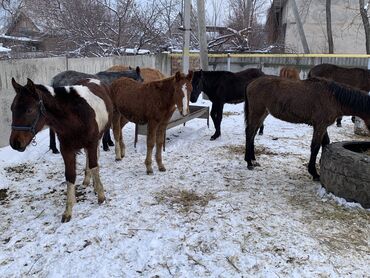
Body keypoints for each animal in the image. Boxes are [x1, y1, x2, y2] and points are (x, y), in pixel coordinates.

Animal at [10, 77, 112, 223]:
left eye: (29, 110)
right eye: (12, 109)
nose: (15, 143)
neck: (75, 118)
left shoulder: (91, 143)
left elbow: (94, 166)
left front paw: (101, 196)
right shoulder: (66, 150)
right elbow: (70, 176)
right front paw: (68, 211)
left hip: (97, 138)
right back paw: (87, 180)